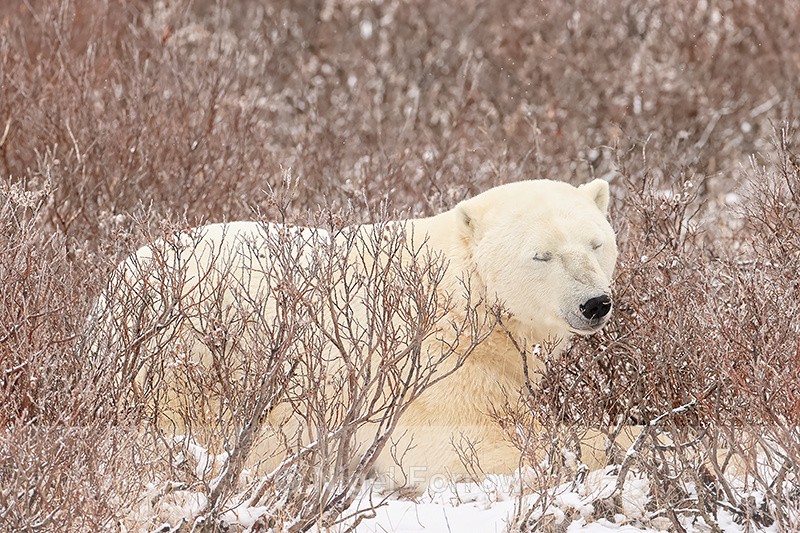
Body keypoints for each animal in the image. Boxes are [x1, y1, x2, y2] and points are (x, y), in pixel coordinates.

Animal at [93, 178, 618, 492]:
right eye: (541, 254)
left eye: (597, 243)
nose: (595, 303)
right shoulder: (422, 363)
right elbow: (458, 445)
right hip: (172, 360)